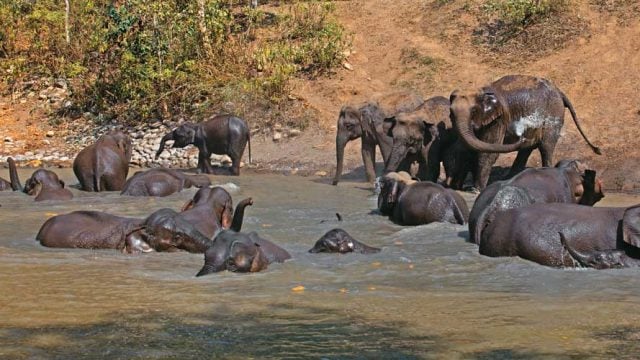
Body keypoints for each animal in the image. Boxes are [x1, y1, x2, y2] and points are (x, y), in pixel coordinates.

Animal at [450, 73, 600, 191]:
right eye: (451, 112)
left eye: (474, 111)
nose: (519, 135)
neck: (480, 89)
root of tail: (559, 91)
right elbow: (466, 149)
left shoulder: (498, 120)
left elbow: (487, 152)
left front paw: (476, 190)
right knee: (526, 150)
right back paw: (509, 179)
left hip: (554, 113)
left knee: (546, 147)